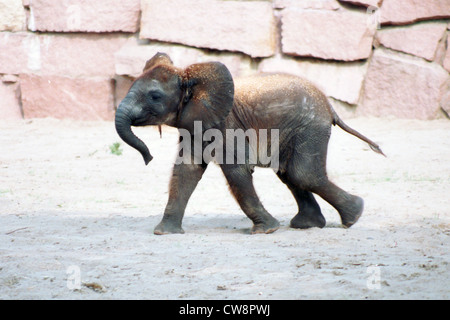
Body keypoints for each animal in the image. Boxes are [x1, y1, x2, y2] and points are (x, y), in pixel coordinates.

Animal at [115, 52, 384, 235]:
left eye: (155, 96)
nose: (148, 158)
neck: (191, 77)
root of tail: (330, 106)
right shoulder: (194, 123)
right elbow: (186, 171)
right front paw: (164, 232)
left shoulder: (226, 125)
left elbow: (236, 171)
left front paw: (267, 230)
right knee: (289, 173)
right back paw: (312, 224)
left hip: (310, 127)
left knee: (302, 173)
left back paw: (354, 215)